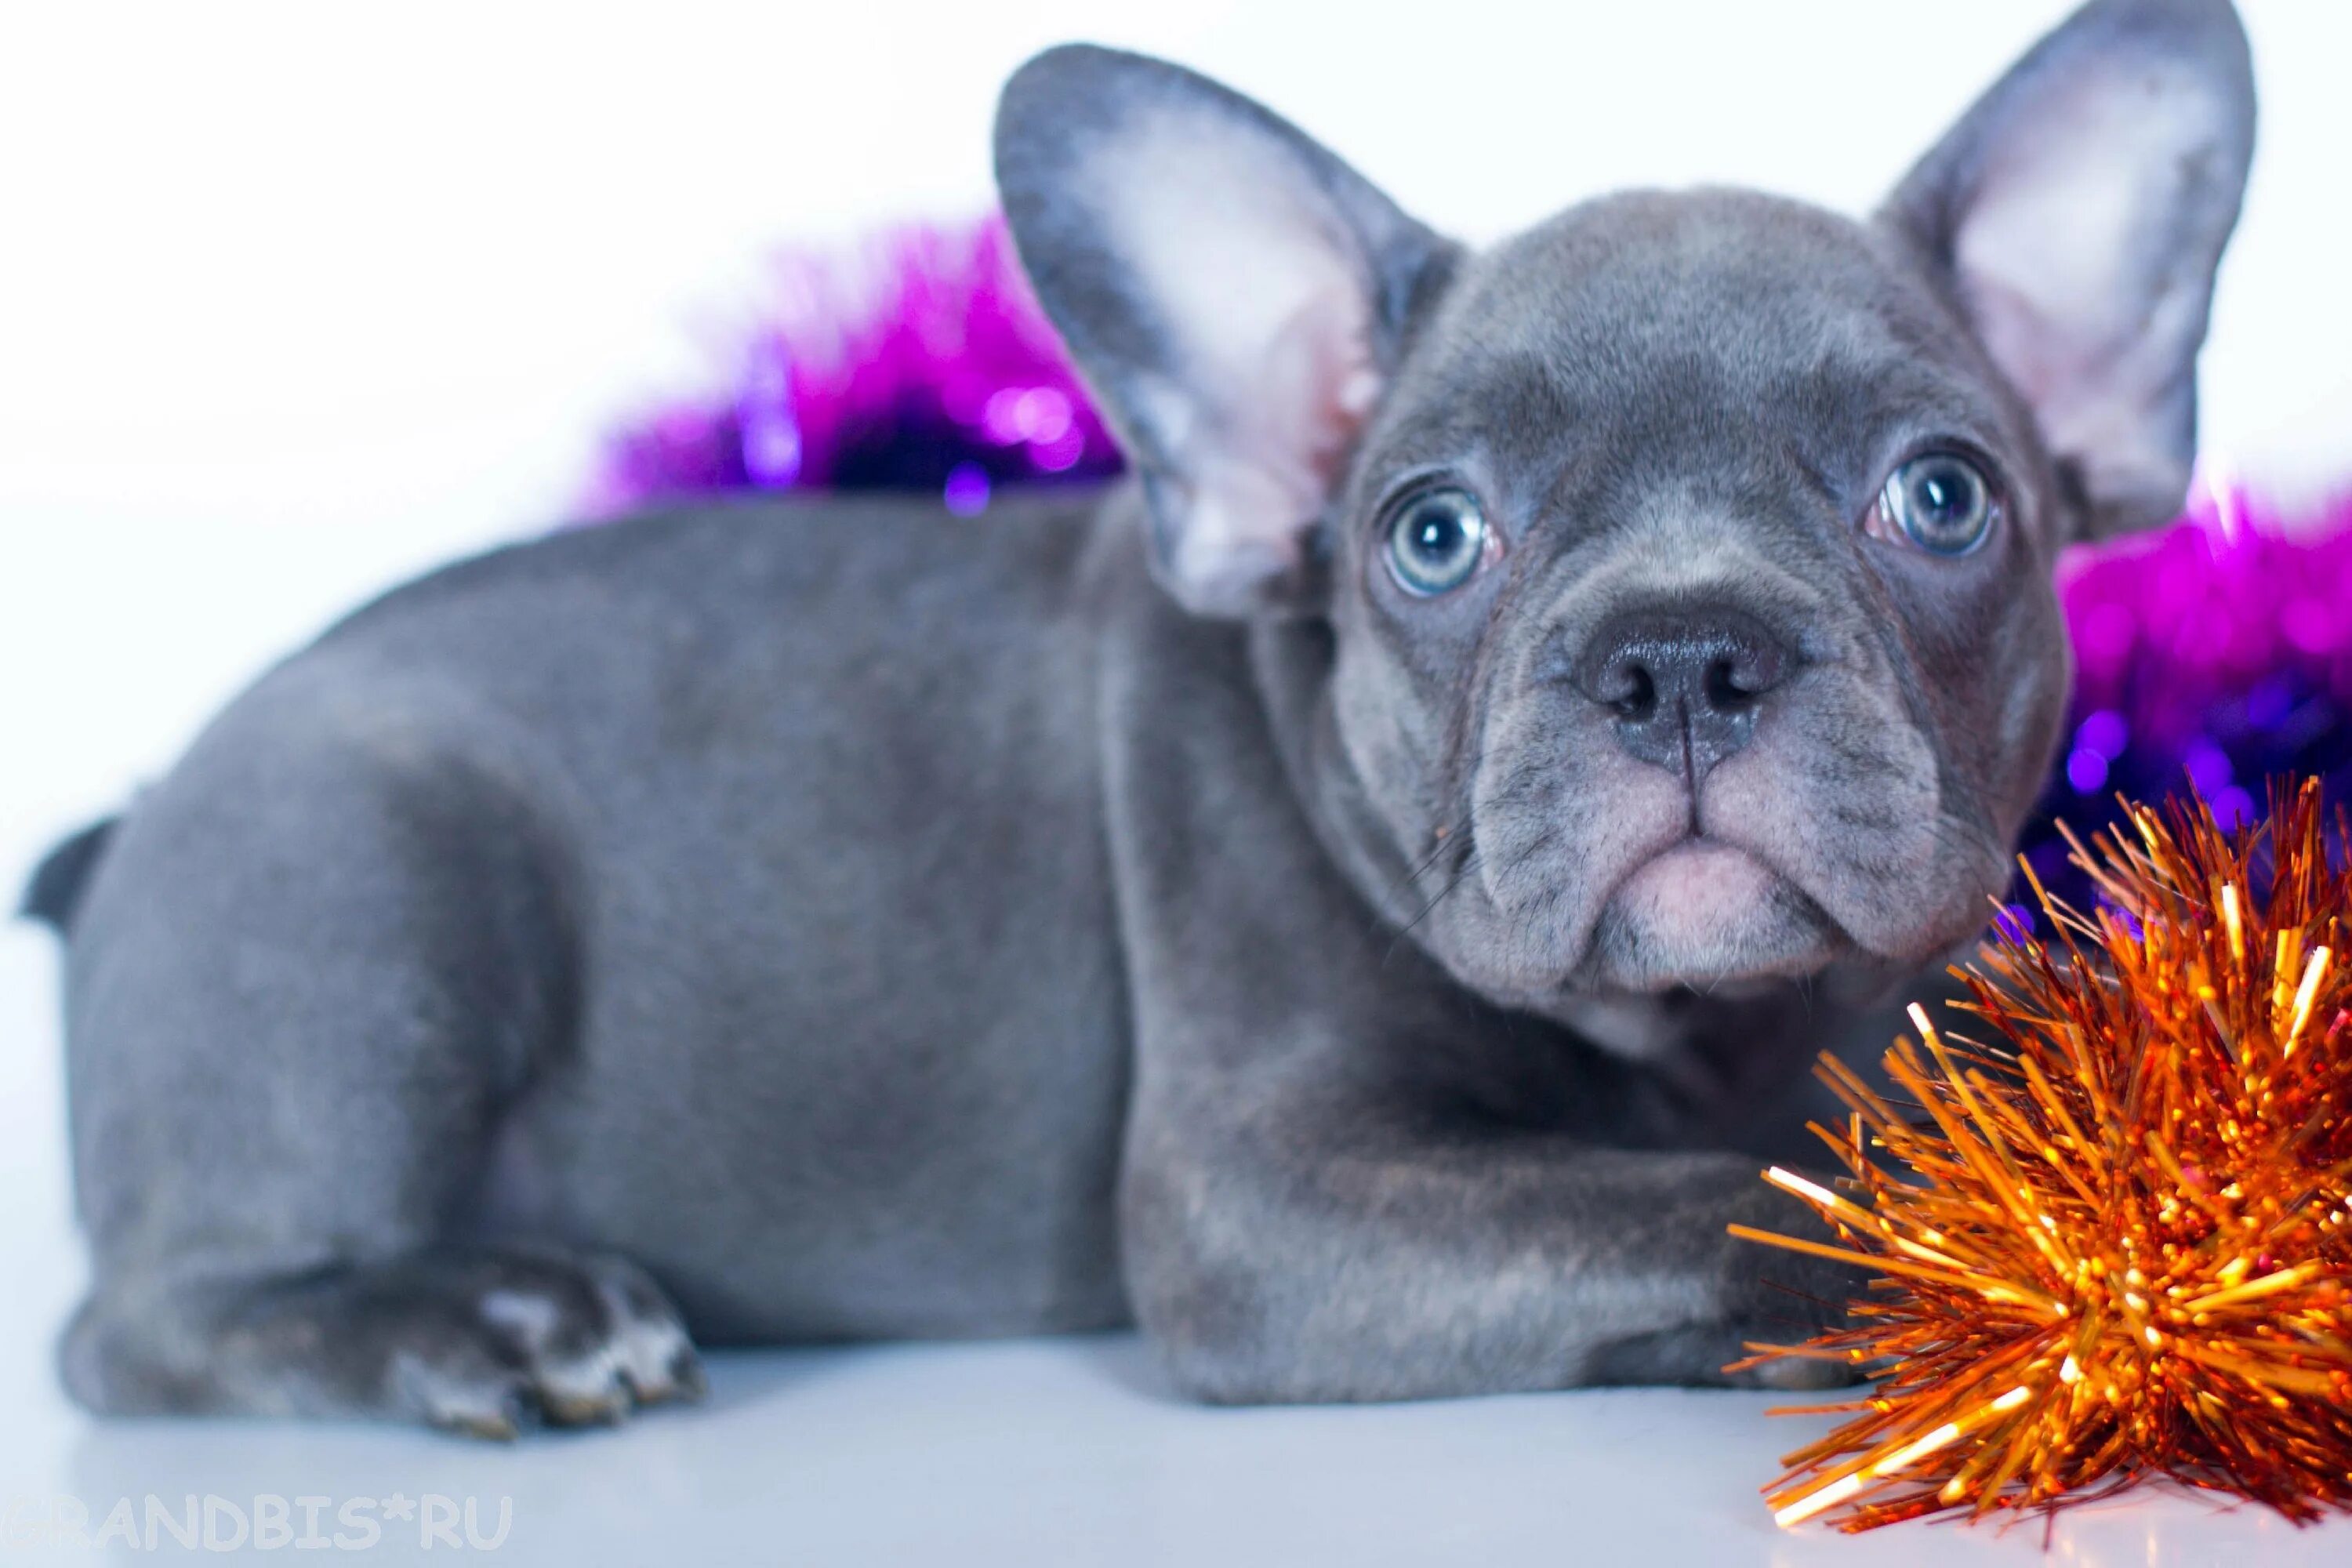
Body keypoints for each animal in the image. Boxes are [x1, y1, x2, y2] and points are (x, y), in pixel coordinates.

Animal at [27, 0, 2249, 1439]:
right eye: (1430, 534)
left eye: (1941, 495)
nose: (1681, 651)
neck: (1707, 1027)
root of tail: (137, 812)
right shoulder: (1272, 1192)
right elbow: (1723, 1196)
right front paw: (2006, 1249)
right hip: (365, 887)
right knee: (143, 1326)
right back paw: (496, 1315)